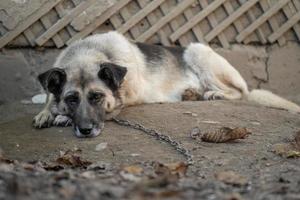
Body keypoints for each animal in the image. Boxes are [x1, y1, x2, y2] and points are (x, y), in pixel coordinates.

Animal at [32, 31, 300, 138]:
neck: (89, 53)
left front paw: (61, 116)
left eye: (96, 97)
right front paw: (47, 112)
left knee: (238, 93)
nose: (86, 130)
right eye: (72, 99)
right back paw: (192, 93)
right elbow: (48, 95)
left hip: (197, 50)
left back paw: (213, 94)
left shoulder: (126, 96)